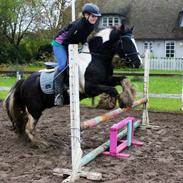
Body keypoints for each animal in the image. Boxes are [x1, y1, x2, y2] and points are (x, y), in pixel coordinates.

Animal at [3, 24, 142, 147]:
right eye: (126, 42)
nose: (138, 63)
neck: (95, 58)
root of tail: (23, 82)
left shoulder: (107, 80)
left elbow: (123, 80)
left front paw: (128, 98)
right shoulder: (90, 88)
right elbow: (112, 90)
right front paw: (112, 103)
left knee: (24, 123)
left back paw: (27, 140)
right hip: (35, 109)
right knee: (29, 127)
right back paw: (40, 144)